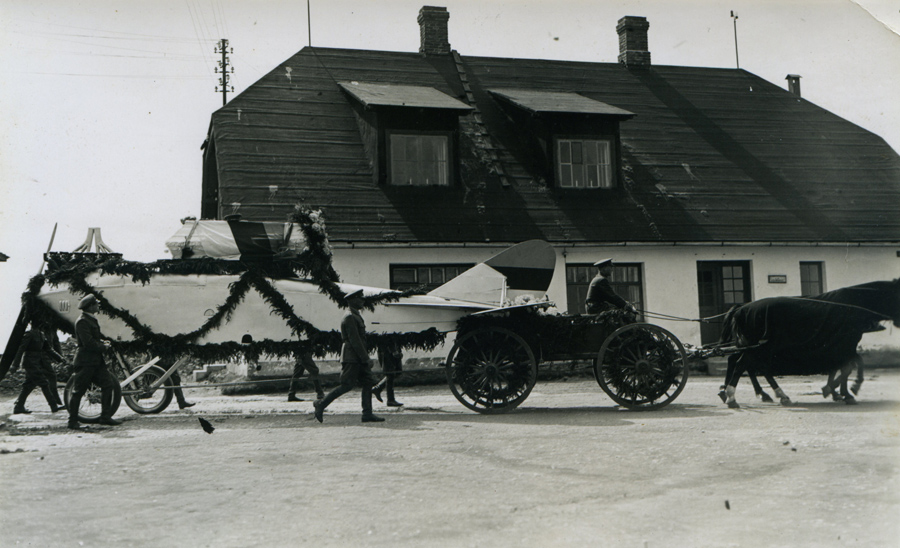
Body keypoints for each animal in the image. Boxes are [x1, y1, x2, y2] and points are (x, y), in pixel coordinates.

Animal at [717, 279, 900, 409]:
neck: (853, 306)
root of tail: (741, 309)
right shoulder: (846, 344)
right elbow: (848, 367)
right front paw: (843, 391)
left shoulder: (838, 346)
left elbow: (844, 367)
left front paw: (838, 391)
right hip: (757, 347)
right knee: (742, 365)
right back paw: (733, 396)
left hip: (757, 348)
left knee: (748, 365)